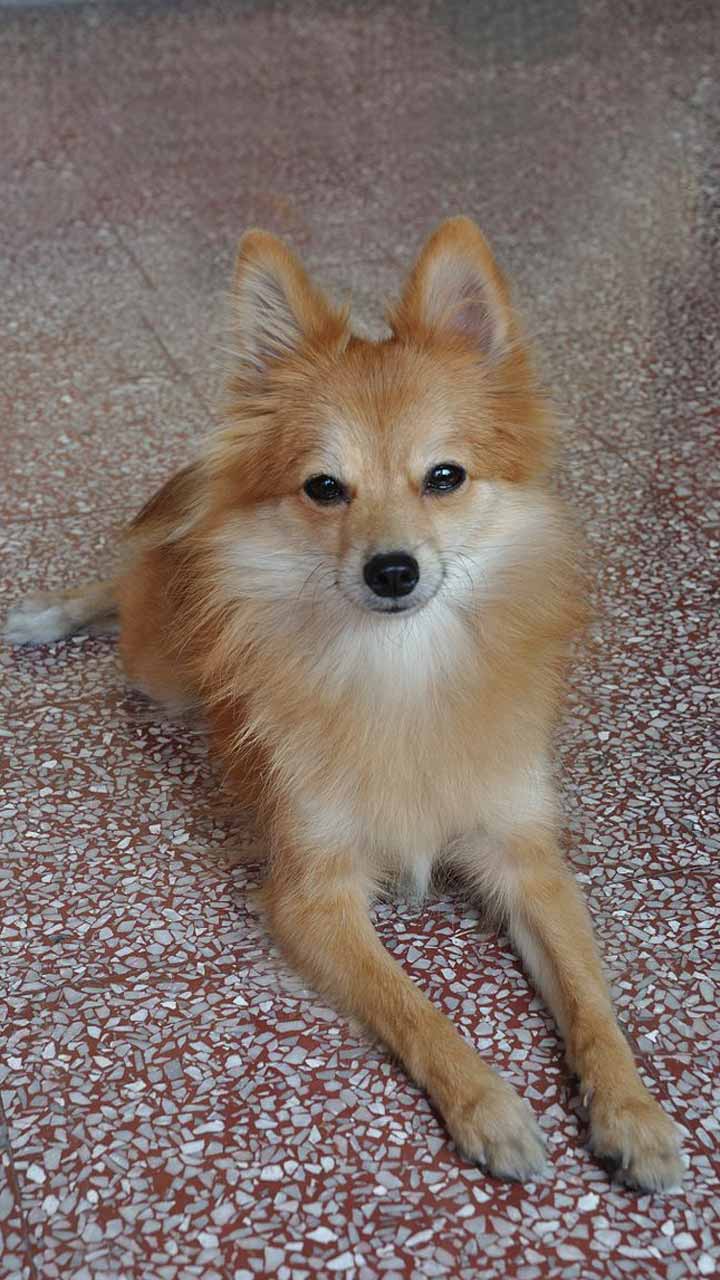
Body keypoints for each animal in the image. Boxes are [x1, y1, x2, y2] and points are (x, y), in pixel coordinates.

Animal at [5, 217, 683, 1190]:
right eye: (325, 488)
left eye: (446, 477)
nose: (392, 568)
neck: (399, 670)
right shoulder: (312, 895)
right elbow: (415, 1008)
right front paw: (487, 1106)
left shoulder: (527, 861)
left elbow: (593, 1002)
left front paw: (633, 1111)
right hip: (157, 664)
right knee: (119, 593)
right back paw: (43, 619)